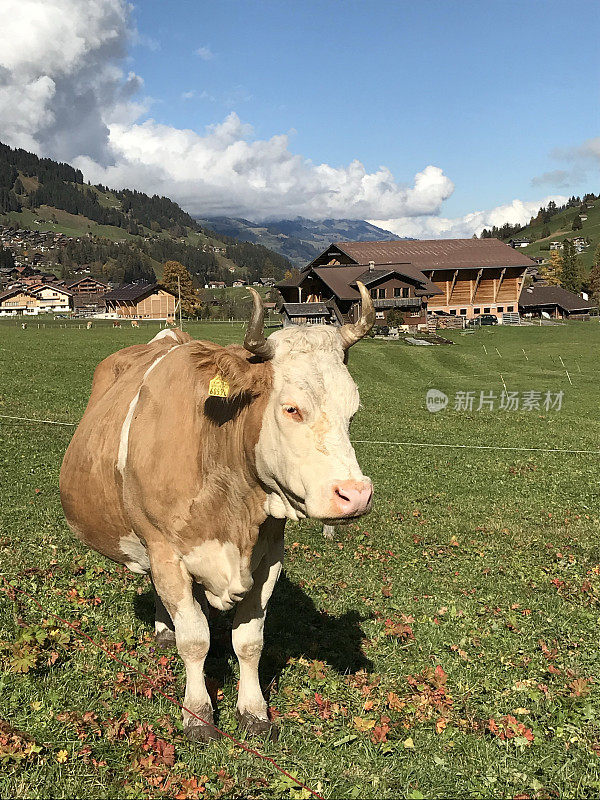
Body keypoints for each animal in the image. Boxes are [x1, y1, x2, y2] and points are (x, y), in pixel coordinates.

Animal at [58, 284, 372, 740]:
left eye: (353, 411)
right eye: (292, 408)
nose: (355, 495)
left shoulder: (269, 557)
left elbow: (250, 640)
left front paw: (254, 711)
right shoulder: (165, 550)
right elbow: (195, 640)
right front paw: (198, 713)